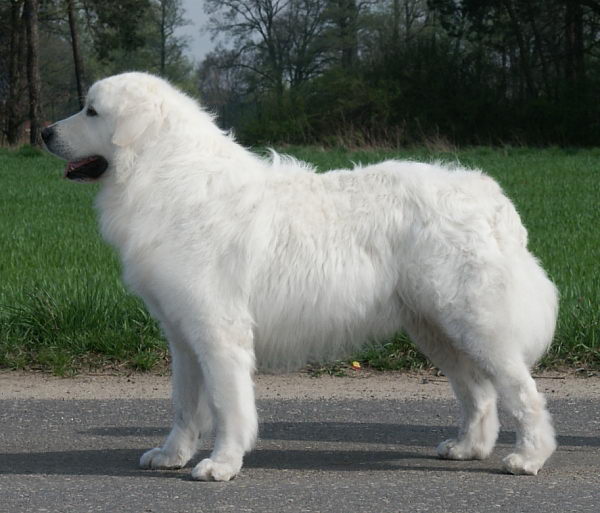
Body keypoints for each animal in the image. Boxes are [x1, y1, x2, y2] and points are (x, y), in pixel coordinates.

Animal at [42, 72, 556, 480]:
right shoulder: (183, 336)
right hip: (434, 328)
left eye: (91, 111)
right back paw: (467, 448)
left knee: (522, 393)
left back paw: (528, 458)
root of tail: (489, 197)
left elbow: (229, 406)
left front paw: (222, 464)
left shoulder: (218, 331)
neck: (164, 173)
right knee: (479, 393)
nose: (45, 132)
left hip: (476, 324)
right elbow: (184, 405)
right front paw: (172, 455)